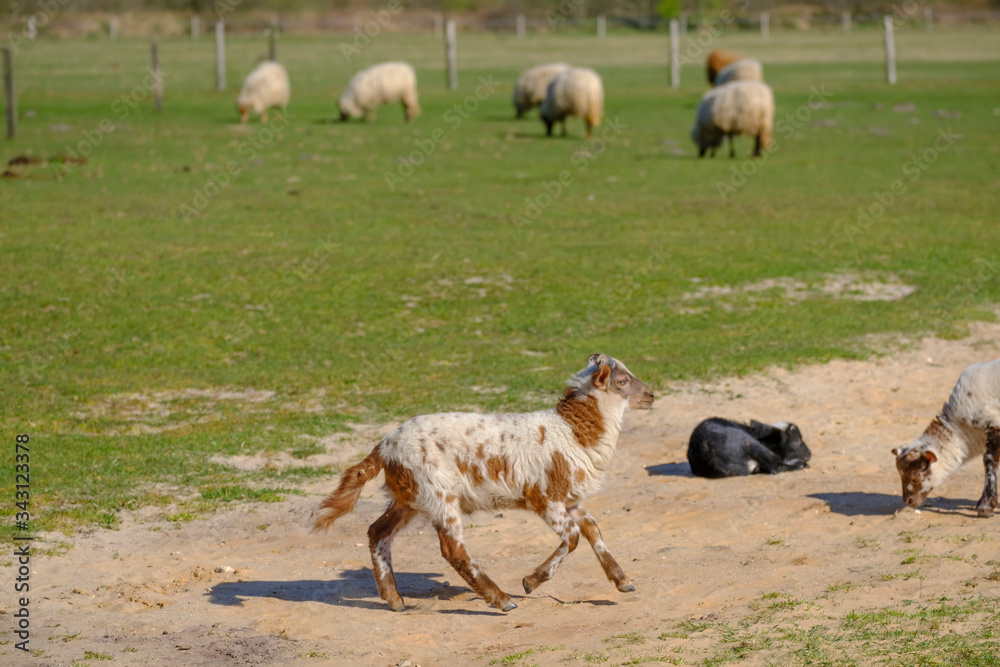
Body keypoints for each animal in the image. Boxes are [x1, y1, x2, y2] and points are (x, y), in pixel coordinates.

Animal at [309, 353, 654, 612]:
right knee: (453, 551)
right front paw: (532, 581)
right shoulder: (543, 497)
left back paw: (394, 599)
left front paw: (622, 581)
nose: (651, 395)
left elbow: (593, 529)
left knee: (377, 532)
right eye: (622, 381)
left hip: (410, 497)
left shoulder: (569, 498)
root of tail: (384, 446)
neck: (573, 431)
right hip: (437, 493)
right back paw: (501, 600)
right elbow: (572, 538)